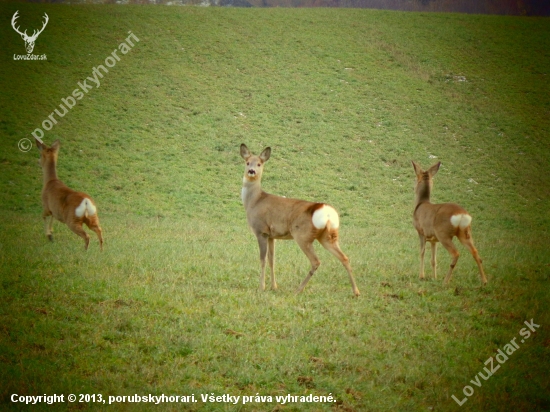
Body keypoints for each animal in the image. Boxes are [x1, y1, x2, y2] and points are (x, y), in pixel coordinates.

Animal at [242, 145, 362, 296]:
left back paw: (298, 290)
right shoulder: (272, 236)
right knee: (344, 258)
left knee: (316, 261)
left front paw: (261, 287)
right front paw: (274, 286)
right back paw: (356, 291)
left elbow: (262, 259)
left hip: (303, 235)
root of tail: (326, 211)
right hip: (328, 236)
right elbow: (272, 260)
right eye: (247, 162)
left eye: (259, 164)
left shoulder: (261, 231)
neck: (254, 201)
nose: (251, 171)